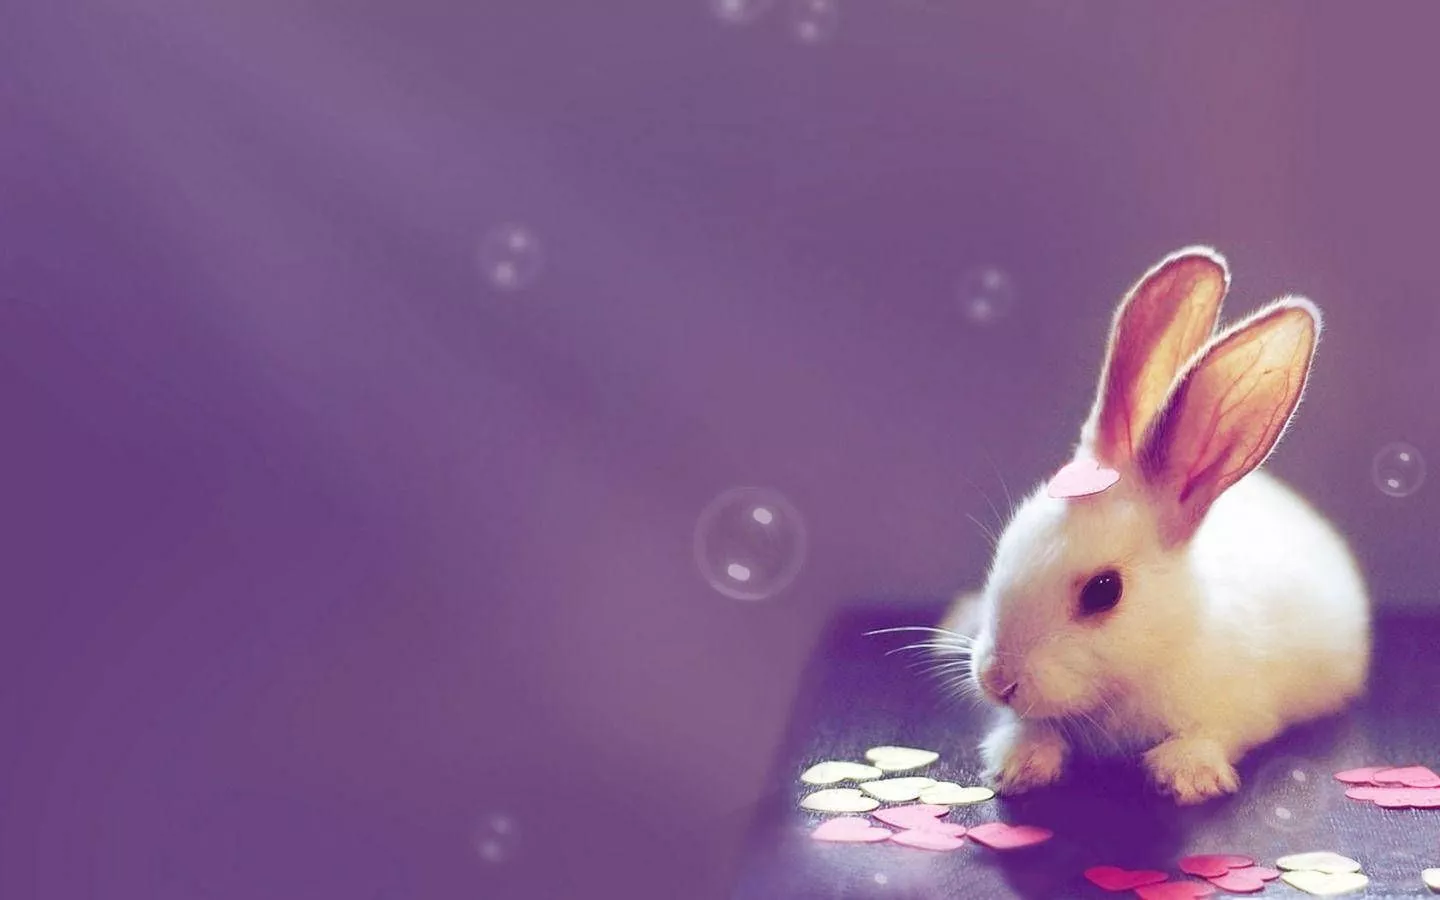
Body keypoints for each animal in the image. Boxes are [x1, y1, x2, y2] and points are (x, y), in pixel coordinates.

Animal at [943, 247, 1371, 805]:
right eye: (1004, 549)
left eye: (1104, 591)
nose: (997, 681)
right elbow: (1031, 727)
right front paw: (1020, 766)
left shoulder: (1239, 709)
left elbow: (1212, 733)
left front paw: (1186, 776)